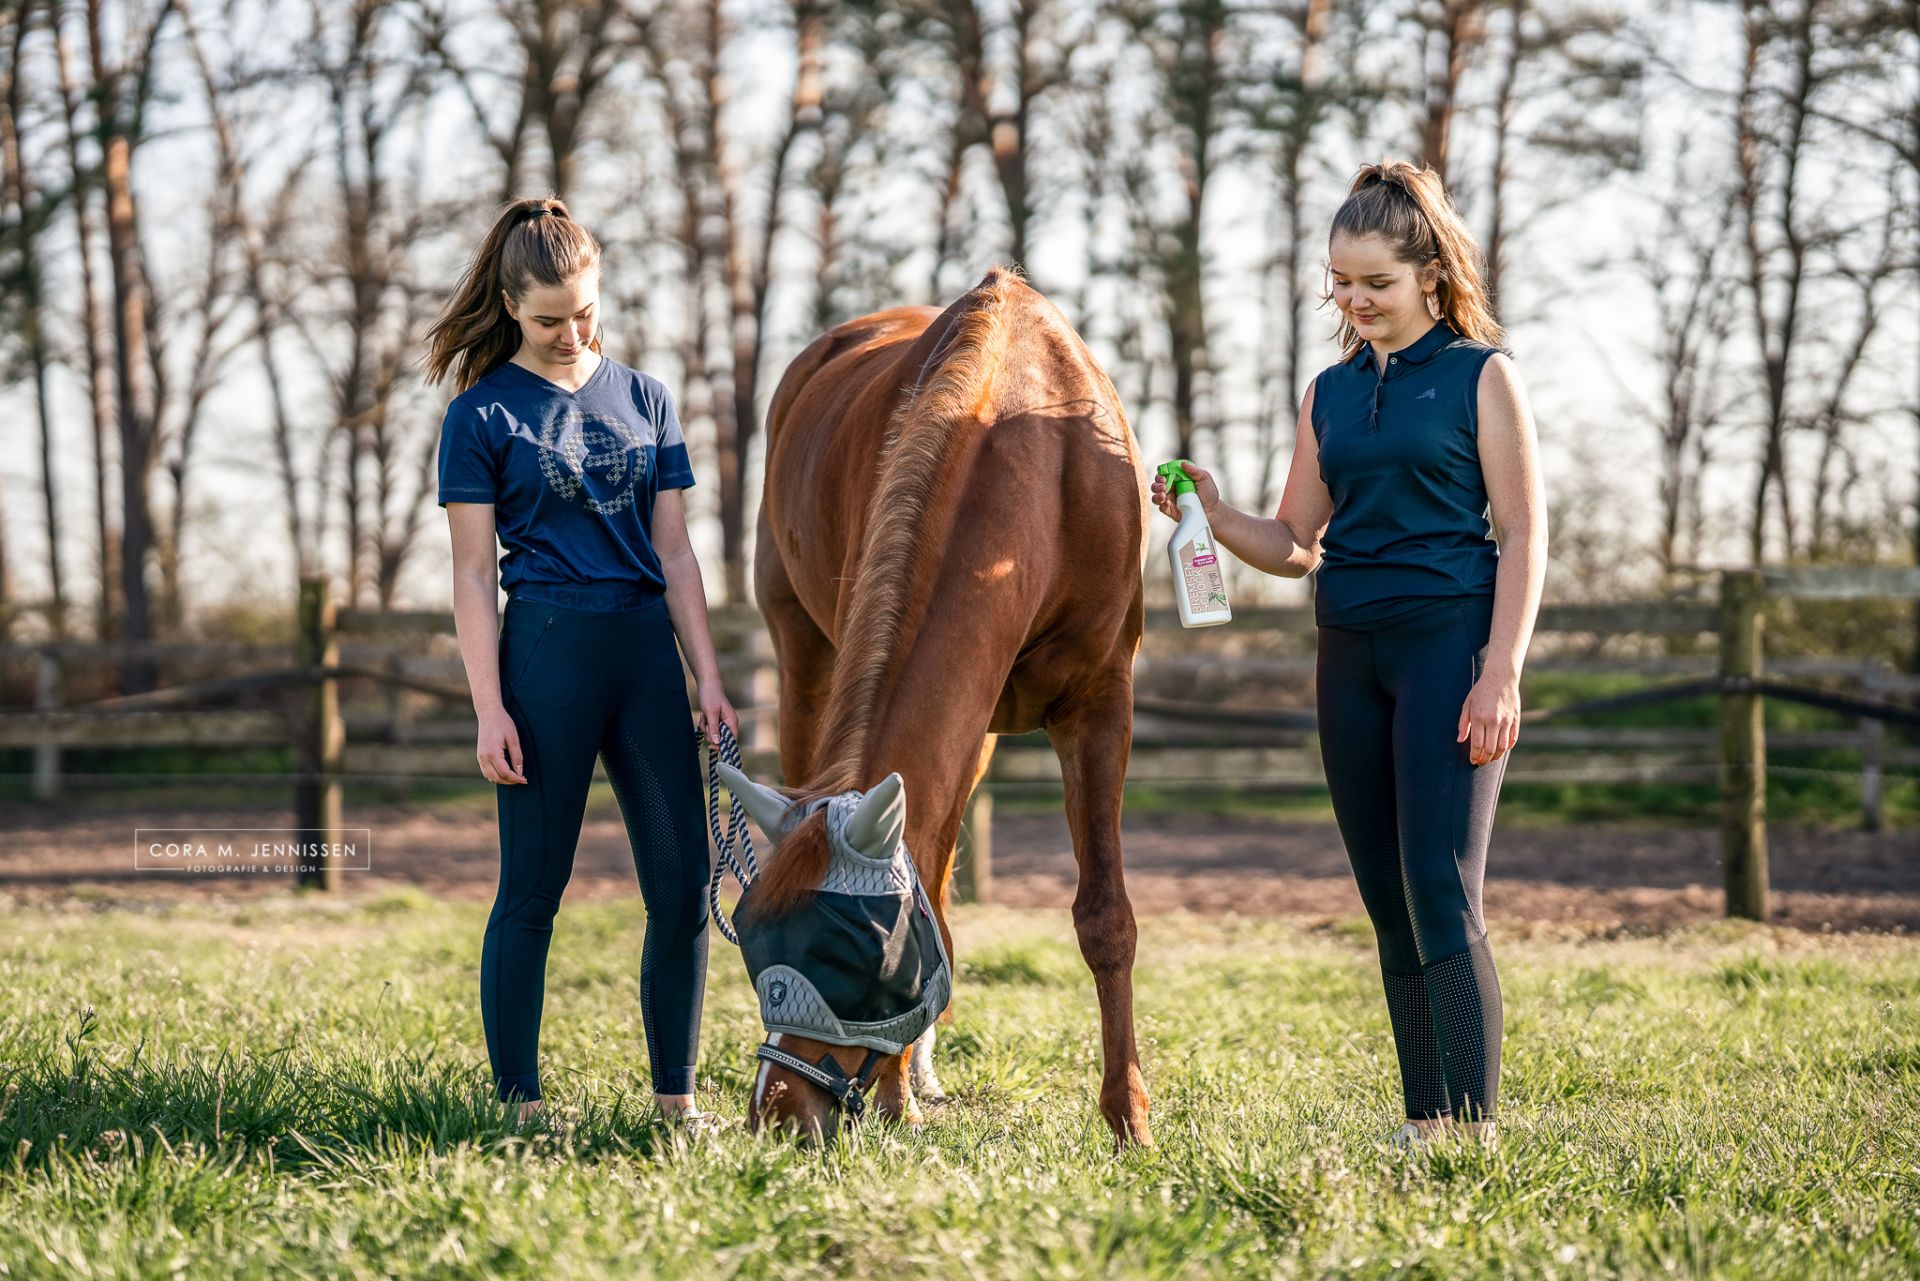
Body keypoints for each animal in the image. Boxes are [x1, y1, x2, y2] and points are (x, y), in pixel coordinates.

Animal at [729, 265, 1152, 1144]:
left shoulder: (1101, 701)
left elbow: (1106, 914)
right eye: (753, 941)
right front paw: (896, 1095)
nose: (779, 1113)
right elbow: (928, 876)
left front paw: (1128, 1115)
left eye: (858, 957)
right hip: (804, 658)